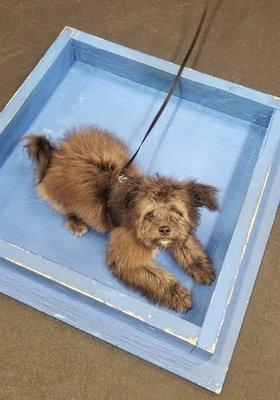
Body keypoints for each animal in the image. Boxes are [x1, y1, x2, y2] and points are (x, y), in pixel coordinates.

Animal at [26, 126, 219, 310]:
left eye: (177, 213)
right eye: (150, 214)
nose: (165, 229)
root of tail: (55, 154)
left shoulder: (180, 233)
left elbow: (188, 247)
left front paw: (201, 268)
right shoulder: (128, 259)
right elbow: (157, 279)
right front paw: (178, 295)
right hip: (59, 198)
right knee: (66, 209)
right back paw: (76, 222)